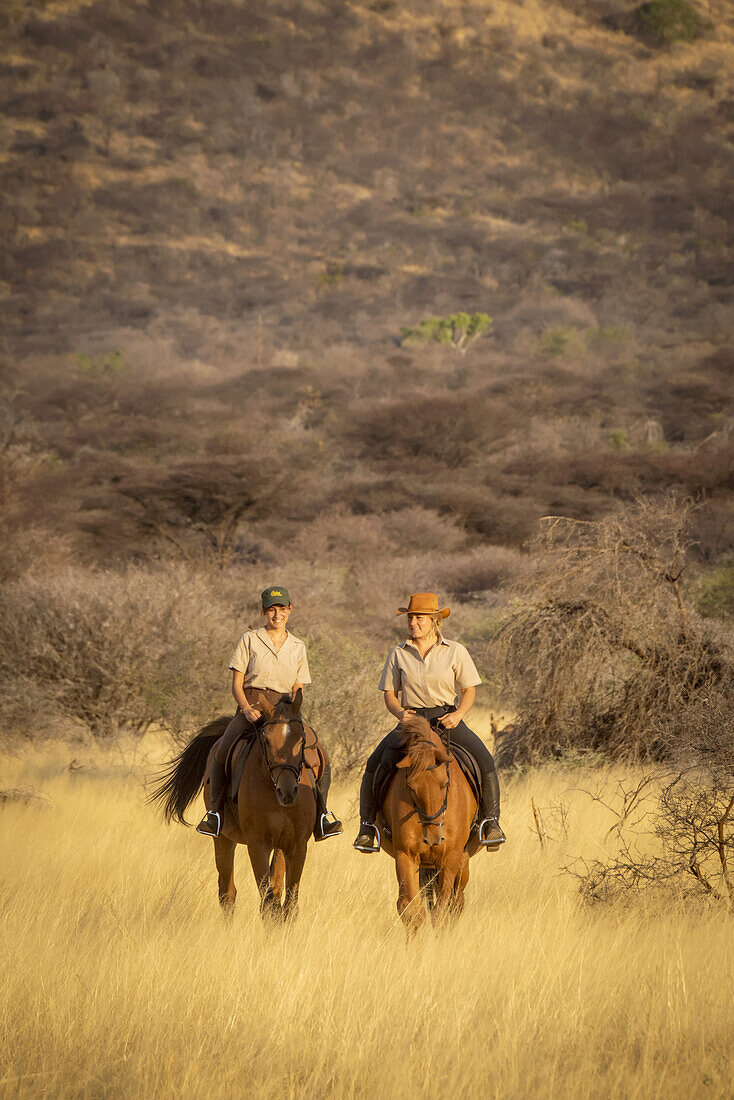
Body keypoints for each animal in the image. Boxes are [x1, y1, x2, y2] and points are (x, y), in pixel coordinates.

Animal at [149, 686, 321, 919]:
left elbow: (288, 905)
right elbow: (268, 904)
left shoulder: (296, 845)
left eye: (301, 739)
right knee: (227, 893)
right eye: (267, 740)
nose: (287, 792)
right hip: (223, 840)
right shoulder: (258, 845)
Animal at [378, 717, 481, 932]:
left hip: (462, 862)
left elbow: (442, 911)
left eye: (445, 783)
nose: (434, 838)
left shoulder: (450, 858)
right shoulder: (405, 855)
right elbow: (410, 910)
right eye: (410, 786)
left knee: (456, 903)